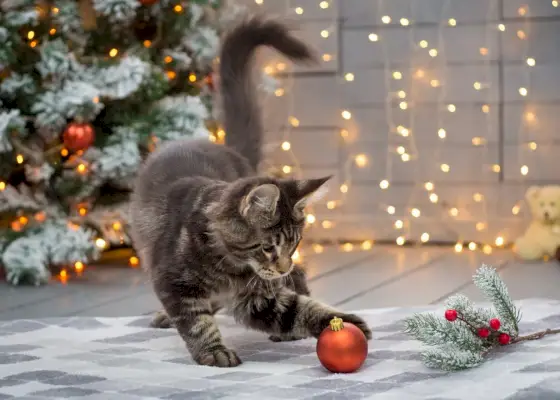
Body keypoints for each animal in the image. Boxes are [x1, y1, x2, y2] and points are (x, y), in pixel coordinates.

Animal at [129, 14, 370, 368]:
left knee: (300, 277)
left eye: (294, 244)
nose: (282, 266)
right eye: (268, 247)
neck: (231, 269)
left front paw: (342, 322)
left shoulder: (258, 297)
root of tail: (225, 148)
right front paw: (213, 351)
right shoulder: (173, 284)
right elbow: (197, 323)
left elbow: (300, 308)